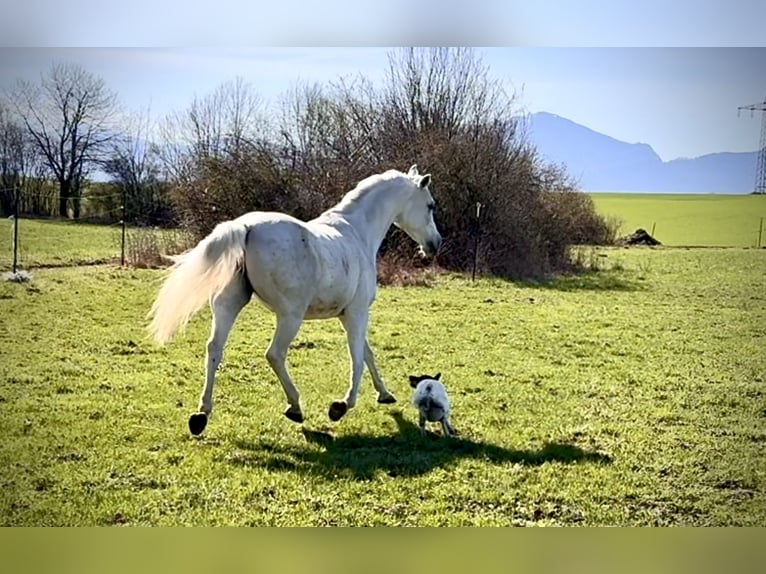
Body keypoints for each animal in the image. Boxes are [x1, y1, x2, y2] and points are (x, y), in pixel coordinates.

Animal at [148, 165, 444, 436]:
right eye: (430, 205)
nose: (435, 244)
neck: (357, 234)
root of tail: (246, 227)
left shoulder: (348, 315)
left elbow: (367, 354)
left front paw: (384, 394)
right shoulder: (357, 313)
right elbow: (357, 358)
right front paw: (341, 406)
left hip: (228, 305)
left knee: (214, 349)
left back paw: (201, 415)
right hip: (290, 316)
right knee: (274, 354)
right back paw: (295, 407)